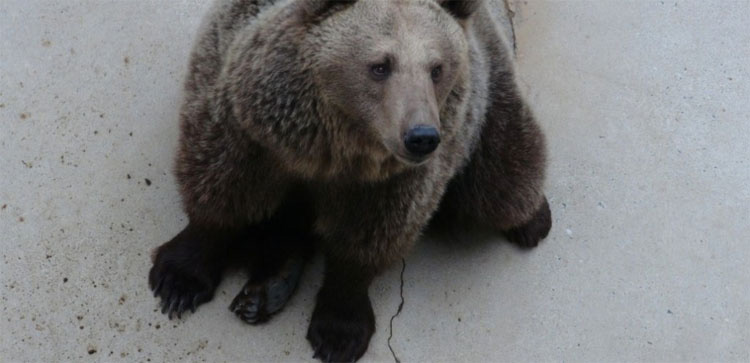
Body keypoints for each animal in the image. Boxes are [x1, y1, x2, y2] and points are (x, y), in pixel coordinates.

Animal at [150, 0, 552, 362]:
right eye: (380, 65)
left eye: (436, 68)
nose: (421, 136)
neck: (329, 149)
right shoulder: (250, 128)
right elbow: (223, 184)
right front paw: (177, 280)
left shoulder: (392, 181)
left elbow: (368, 238)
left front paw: (338, 333)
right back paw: (267, 288)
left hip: (486, 111)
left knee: (504, 179)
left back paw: (533, 220)